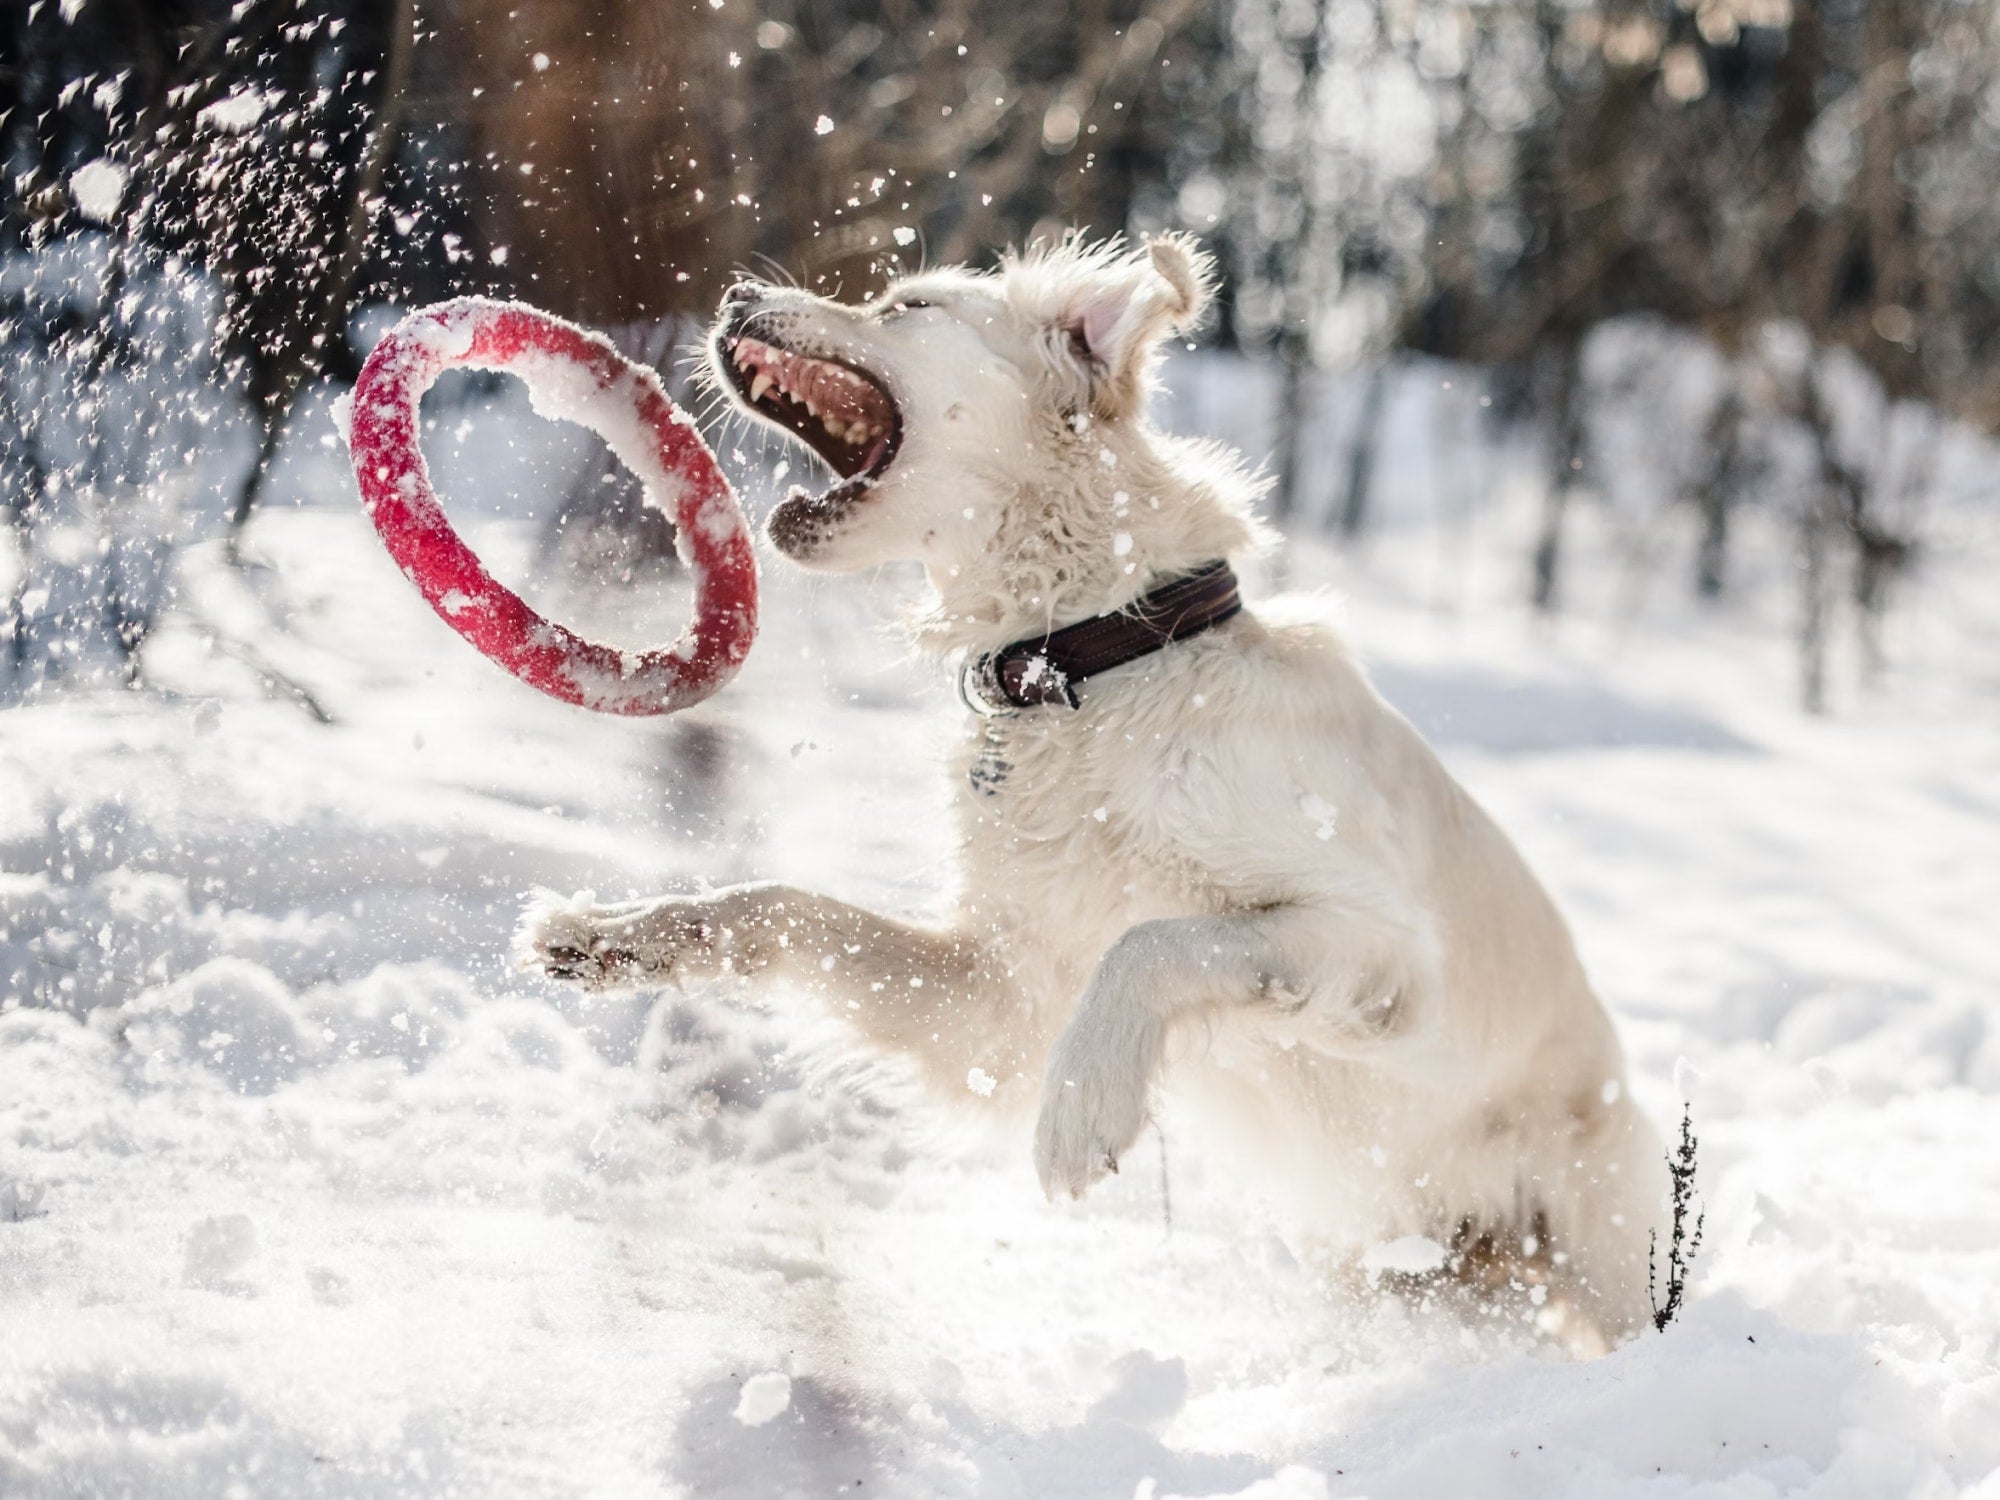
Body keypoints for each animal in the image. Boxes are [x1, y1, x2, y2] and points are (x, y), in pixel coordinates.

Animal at [512, 238, 1656, 1352]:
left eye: (908, 305)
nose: (738, 291)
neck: (1093, 660)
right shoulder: (1003, 996)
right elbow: (783, 905)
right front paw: (616, 935)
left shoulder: (1382, 947)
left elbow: (1153, 942)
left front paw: (1081, 1111)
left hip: (1599, 1246)